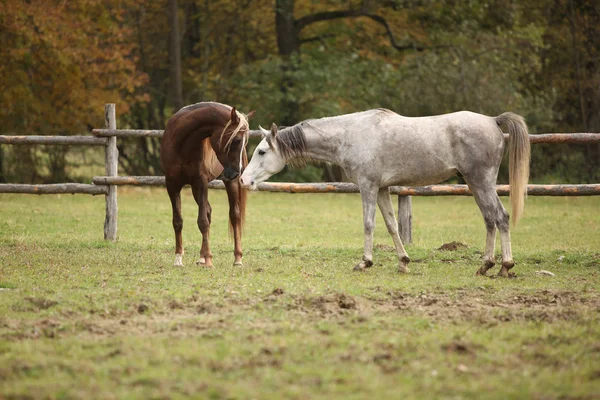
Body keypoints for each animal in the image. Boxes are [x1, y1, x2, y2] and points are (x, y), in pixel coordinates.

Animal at [159, 101, 253, 268]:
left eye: (242, 142)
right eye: (236, 140)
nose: (237, 172)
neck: (181, 145)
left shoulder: (201, 183)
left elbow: (202, 221)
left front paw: (209, 259)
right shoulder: (172, 185)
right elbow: (178, 221)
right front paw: (178, 258)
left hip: (228, 183)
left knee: (234, 215)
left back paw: (237, 258)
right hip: (195, 189)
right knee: (208, 211)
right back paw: (201, 257)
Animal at [240, 109, 528, 278]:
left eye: (262, 151)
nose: (243, 179)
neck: (350, 134)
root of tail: (492, 121)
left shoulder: (367, 186)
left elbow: (369, 224)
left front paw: (364, 262)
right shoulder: (381, 189)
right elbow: (392, 225)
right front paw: (403, 262)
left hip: (482, 182)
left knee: (501, 218)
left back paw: (505, 266)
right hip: (474, 184)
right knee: (489, 220)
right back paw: (486, 265)